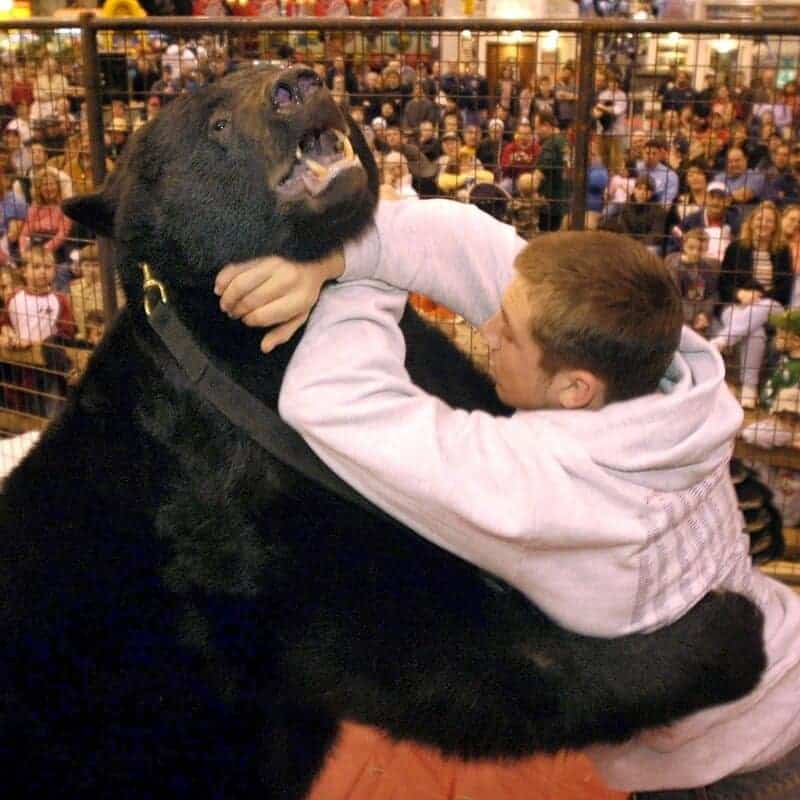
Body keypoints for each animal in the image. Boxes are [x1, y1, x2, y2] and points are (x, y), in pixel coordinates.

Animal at [0, 65, 765, 799]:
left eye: (261, 61)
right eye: (214, 124)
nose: (297, 84)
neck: (247, 352)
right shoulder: (238, 518)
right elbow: (433, 652)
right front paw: (730, 632)